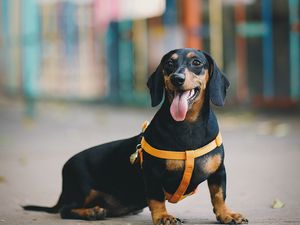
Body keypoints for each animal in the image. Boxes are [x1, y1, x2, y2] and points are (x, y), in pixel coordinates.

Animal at [23, 48, 247, 224]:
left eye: (197, 62)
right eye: (169, 63)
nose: (177, 79)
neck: (188, 126)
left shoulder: (218, 171)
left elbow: (219, 195)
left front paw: (227, 214)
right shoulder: (152, 173)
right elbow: (156, 198)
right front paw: (163, 217)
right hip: (83, 190)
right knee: (65, 210)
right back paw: (91, 212)